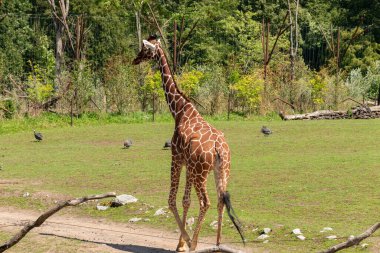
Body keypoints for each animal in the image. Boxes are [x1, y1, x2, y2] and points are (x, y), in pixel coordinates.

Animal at [132, 35, 243, 251]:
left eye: (145, 49)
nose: (135, 60)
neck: (179, 110)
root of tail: (218, 148)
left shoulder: (177, 157)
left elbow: (172, 200)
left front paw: (185, 241)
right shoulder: (188, 164)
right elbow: (186, 201)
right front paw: (181, 243)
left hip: (201, 173)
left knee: (206, 202)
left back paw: (195, 244)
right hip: (222, 170)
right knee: (221, 199)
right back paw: (217, 243)